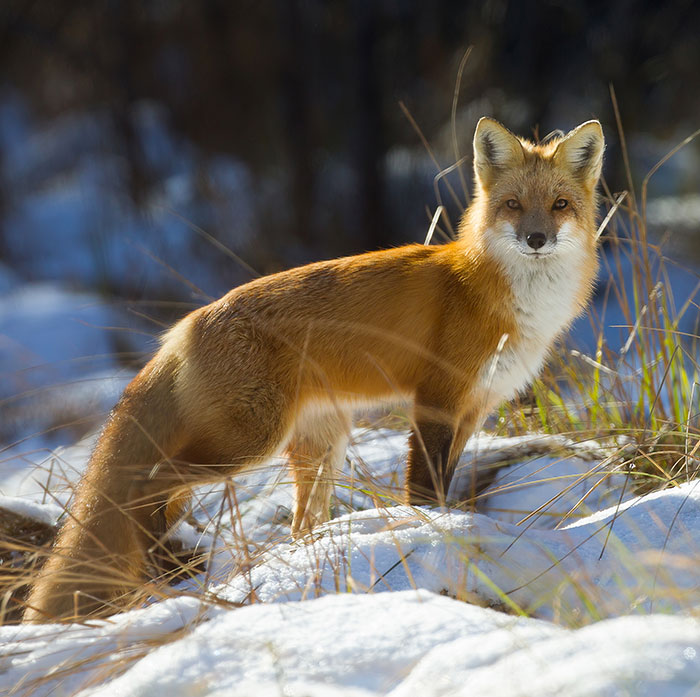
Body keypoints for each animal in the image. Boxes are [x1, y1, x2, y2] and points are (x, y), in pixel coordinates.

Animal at [23, 117, 604, 622]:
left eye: (559, 205)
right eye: (513, 205)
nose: (536, 239)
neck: (504, 300)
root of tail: (185, 325)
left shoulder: (474, 408)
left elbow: (444, 482)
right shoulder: (436, 400)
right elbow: (425, 490)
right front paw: (426, 531)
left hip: (323, 445)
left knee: (298, 524)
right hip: (250, 442)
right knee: (151, 482)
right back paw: (159, 561)